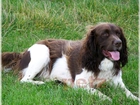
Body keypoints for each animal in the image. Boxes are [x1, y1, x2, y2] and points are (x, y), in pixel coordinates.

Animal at [1, 22, 139, 101]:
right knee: (24, 80)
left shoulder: (117, 82)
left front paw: (135, 98)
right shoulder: (80, 83)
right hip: (43, 50)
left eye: (118, 33)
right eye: (105, 34)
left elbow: (129, 93)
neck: (99, 61)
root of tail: (23, 53)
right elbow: (96, 91)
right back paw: (39, 83)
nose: (119, 43)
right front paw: (106, 98)